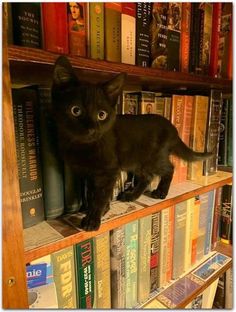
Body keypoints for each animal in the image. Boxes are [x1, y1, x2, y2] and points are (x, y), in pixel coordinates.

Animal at [50, 56, 211, 232]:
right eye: (76, 110)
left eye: (101, 115)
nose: (92, 129)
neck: (84, 147)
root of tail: (172, 127)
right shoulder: (89, 173)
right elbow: (93, 193)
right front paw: (102, 210)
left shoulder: (108, 171)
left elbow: (100, 195)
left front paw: (93, 218)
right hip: (137, 161)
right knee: (147, 176)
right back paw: (132, 195)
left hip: (154, 158)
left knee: (169, 168)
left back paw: (160, 192)